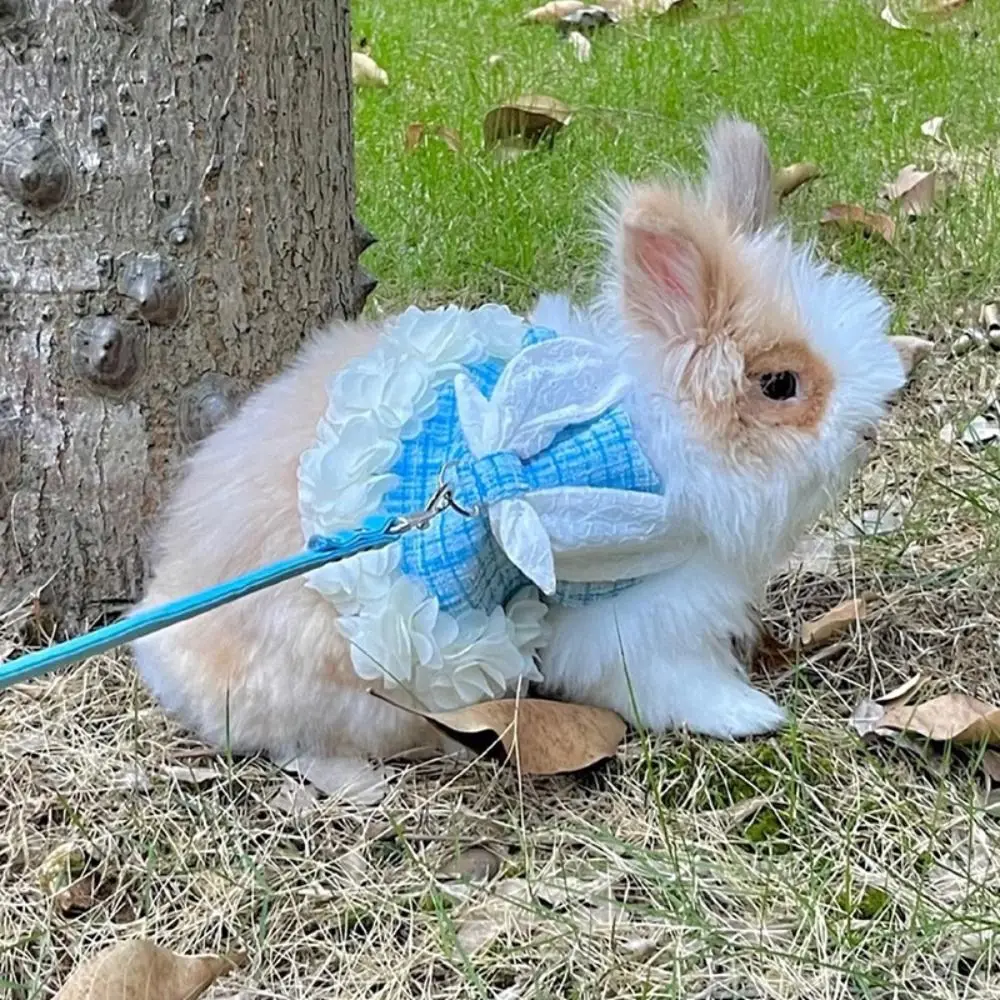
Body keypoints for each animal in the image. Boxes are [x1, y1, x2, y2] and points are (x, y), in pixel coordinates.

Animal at [132, 116, 908, 790]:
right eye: (780, 385)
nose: (871, 429)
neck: (658, 432)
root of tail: (164, 648)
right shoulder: (632, 613)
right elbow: (675, 681)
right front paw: (750, 714)